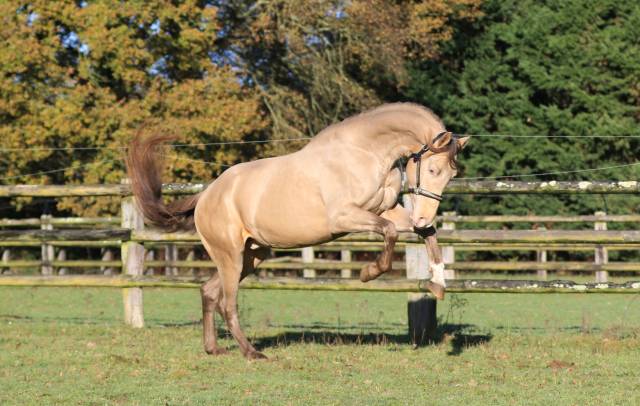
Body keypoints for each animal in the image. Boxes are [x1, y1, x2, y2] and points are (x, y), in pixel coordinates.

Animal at [126, 103, 469, 359]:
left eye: (451, 176)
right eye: (433, 169)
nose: (422, 216)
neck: (364, 153)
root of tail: (207, 194)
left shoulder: (387, 211)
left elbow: (427, 235)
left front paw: (437, 284)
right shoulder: (345, 218)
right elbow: (389, 234)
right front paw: (368, 273)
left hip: (252, 255)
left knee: (209, 292)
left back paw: (213, 349)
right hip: (230, 257)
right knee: (227, 303)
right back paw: (252, 353)